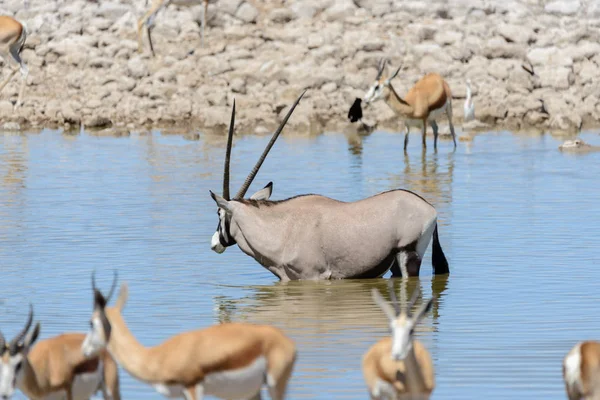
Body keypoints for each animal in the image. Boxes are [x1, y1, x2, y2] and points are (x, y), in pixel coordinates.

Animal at [83, 272, 298, 400]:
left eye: (90, 322)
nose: (84, 350)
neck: (158, 357)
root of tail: (287, 340)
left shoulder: (193, 388)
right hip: (250, 391)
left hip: (274, 384)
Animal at [209, 91, 448, 280]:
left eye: (219, 213)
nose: (214, 243)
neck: (279, 230)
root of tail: (429, 207)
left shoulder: (314, 278)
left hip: (408, 256)